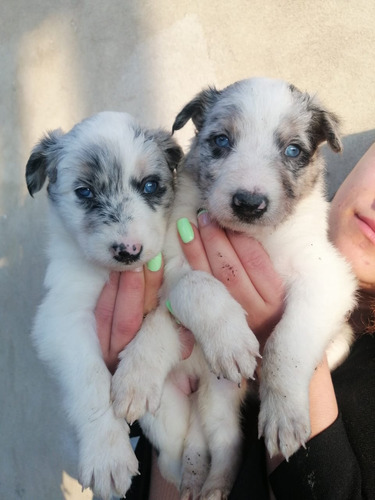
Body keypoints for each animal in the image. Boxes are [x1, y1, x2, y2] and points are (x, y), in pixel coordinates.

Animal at [24, 111, 183, 498]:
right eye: (85, 192)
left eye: (151, 186)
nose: (128, 251)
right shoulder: (62, 319)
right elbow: (91, 381)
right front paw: (107, 455)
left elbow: (160, 325)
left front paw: (136, 381)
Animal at [112, 76, 358, 498]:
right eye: (221, 141)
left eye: (293, 150)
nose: (249, 202)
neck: (255, 238)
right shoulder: (174, 265)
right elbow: (198, 286)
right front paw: (231, 342)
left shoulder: (326, 278)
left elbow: (284, 344)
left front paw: (284, 415)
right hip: (217, 394)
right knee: (225, 441)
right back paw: (209, 483)